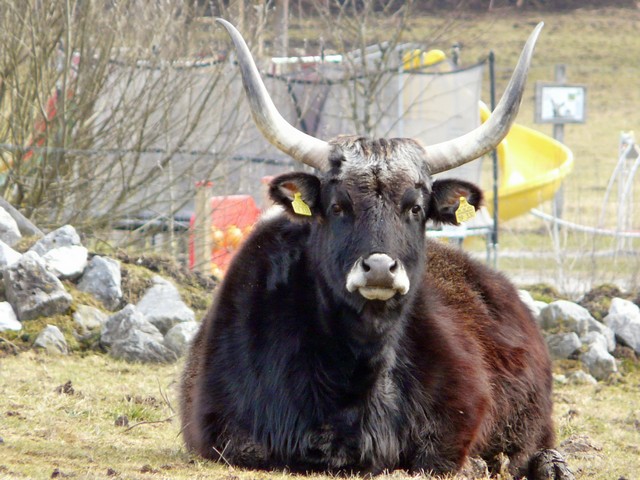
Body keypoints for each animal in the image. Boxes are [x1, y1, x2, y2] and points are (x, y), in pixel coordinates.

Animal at [180, 19, 576, 480]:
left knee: (538, 446)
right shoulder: (227, 435)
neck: (353, 373)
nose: (381, 269)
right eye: (338, 205)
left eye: (416, 207)